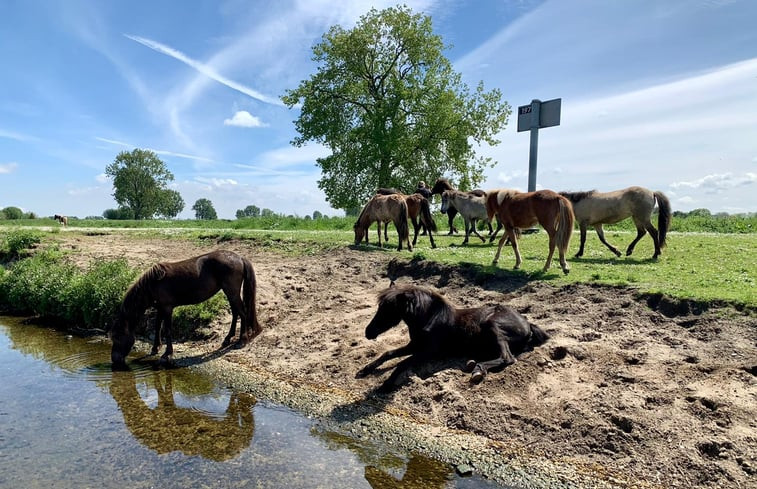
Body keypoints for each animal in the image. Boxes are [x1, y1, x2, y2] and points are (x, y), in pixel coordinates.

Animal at [109, 250, 262, 368]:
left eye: (117, 336)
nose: (114, 360)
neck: (153, 283)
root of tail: (239, 258)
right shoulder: (160, 308)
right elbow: (157, 326)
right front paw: (155, 348)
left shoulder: (167, 308)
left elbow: (167, 330)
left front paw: (167, 354)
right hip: (229, 293)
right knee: (236, 313)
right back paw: (227, 339)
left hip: (232, 292)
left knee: (243, 313)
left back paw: (241, 340)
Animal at [358, 284, 548, 390]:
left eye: (388, 309)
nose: (368, 332)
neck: (429, 319)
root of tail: (527, 323)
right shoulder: (414, 345)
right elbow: (388, 353)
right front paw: (364, 370)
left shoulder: (428, 352)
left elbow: (402, 363)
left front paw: (385, 386)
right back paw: (473, 364)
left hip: (493, 326)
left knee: (507, 358)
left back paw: (478, 369)